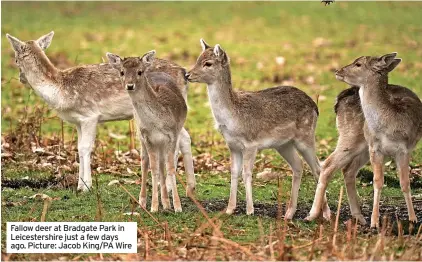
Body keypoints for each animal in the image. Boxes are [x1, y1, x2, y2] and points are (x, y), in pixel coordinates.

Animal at [5, 31, 196, 195]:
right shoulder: (78, 122)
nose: (21, 78)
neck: (60, 91)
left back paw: (169, 188)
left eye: (15, 59)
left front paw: (86, 187)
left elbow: (86, 147)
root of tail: (184, 73)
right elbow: (78, 148)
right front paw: (79, 185)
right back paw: (188, 188)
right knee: (185, 138)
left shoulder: (90, 116)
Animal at [107, 51, 188, 213]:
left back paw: (166, 203)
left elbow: (170, 168)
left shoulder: (172, 135)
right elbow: (153, 168)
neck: (157, 123)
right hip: (141, 137)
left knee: (162, 164)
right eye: (122, 72)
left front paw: (177, 206)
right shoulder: (147, 137)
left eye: (139, 71)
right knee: (144, 164)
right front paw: (154, 207)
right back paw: (143, 201)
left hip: (162, 142)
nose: (130, 85)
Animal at [306, 52, 422, 227]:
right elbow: (378, 181)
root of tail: (338, 100)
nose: (338, 70)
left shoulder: (404, 149)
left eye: (358, 64)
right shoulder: (375, 148)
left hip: (362, 147)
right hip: (350, 136)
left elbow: (404, 182)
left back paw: (358, 216)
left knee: (347, 170)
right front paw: (375, 222)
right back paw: (313, 215)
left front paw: (413, 219)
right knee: (327, 165)